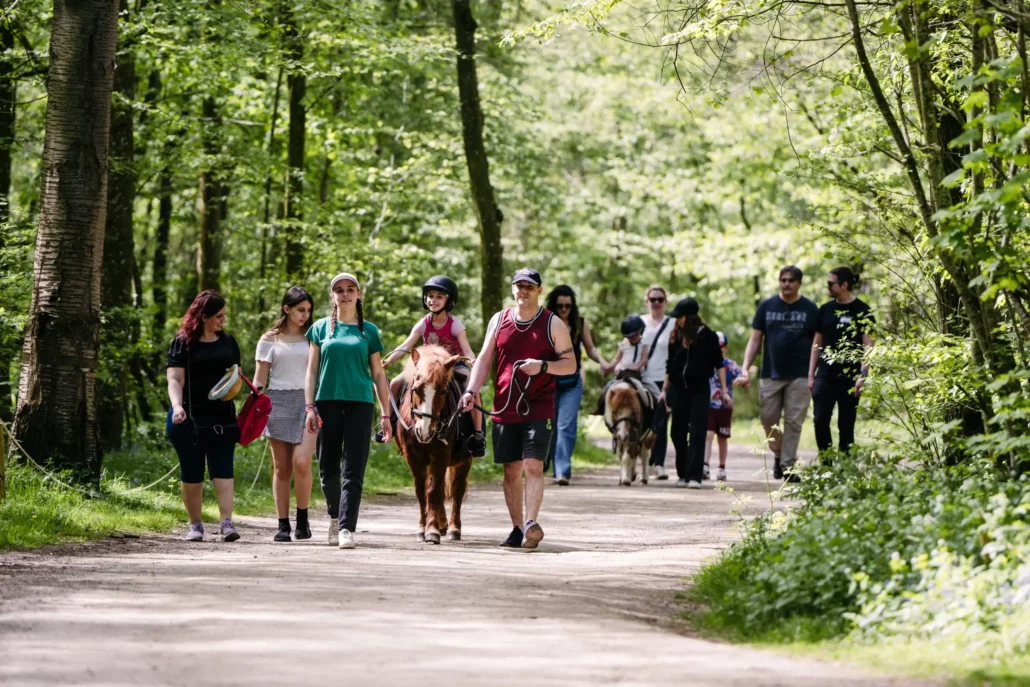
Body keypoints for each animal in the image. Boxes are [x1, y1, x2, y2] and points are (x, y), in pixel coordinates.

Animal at [393, 346, 473, 543]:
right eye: (416, 389)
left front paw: (432, 530)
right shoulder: (412, 456)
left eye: (443, 391)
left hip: (464, 460)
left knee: (457, 489)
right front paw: (423, 528)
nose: (425, 431)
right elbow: (422, 491)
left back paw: (453, 528)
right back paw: (442, 522)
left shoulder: (441, 455)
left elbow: (434, 490)